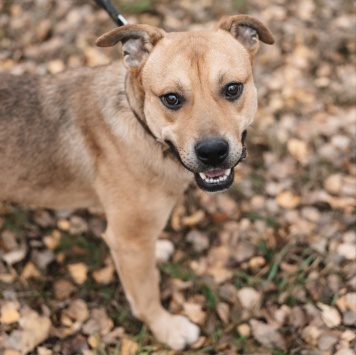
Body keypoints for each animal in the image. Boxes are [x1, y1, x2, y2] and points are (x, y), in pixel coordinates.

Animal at [0, 16, 274, 350]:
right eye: (171, 98)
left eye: (232, 89)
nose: (212, 152)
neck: (143, 127)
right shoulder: (129, 241)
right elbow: (146, 296)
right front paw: (167, 329)